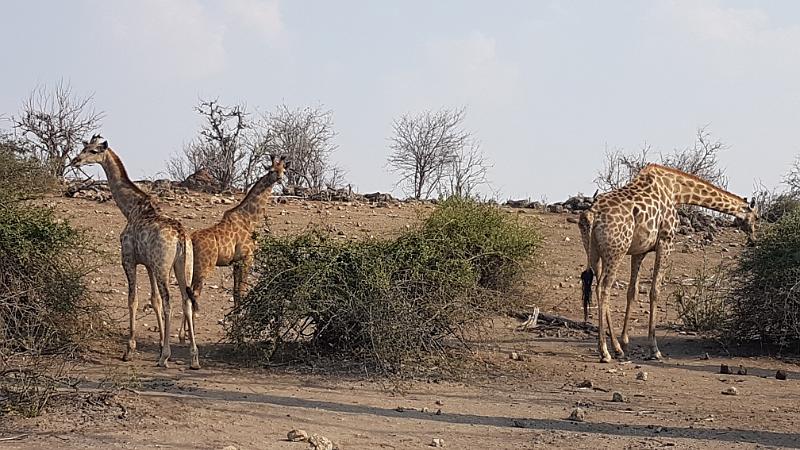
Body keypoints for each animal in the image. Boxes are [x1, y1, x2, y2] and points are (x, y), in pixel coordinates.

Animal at [71, 136, 199, 370]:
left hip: (163, 267)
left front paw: (129, 350)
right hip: (183, 266)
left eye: (93, 151)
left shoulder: (129, 259)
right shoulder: (148, 263)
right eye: (84, 147)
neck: (130, 208)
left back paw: (165, 357)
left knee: (170, 302)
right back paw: (194, 359)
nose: (75, 160)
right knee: (185, 301)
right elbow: (154, 300)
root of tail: (181, 237)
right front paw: (159, 344)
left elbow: (134, 299)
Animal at [180, 155, 290, 338]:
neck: (250, 219)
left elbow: (236, 292)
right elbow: (242, 291)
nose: (280, 178)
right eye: (271, 170)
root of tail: (191, 239)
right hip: (203, 267)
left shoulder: (236, 262)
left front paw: (236, 325)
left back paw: (183, 334)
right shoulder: (247, 258)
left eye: (284, 170)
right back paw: (190, 332)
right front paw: (239, 330)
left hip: (189, 267)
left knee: (186, 293)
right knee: (194, 294)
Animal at [576, 163, 756, 364]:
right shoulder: (666, 241)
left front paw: (625, 343)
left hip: (594, 252)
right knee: (603, 288)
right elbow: (655, 290)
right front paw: (654, 349)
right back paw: (604, 352)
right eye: (756, 218)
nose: (754, 239)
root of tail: (592, 215)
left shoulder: (639, 250)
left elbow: (632, 291)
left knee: (598, 285)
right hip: (616, 251)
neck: (676, 191)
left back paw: (616, 348)